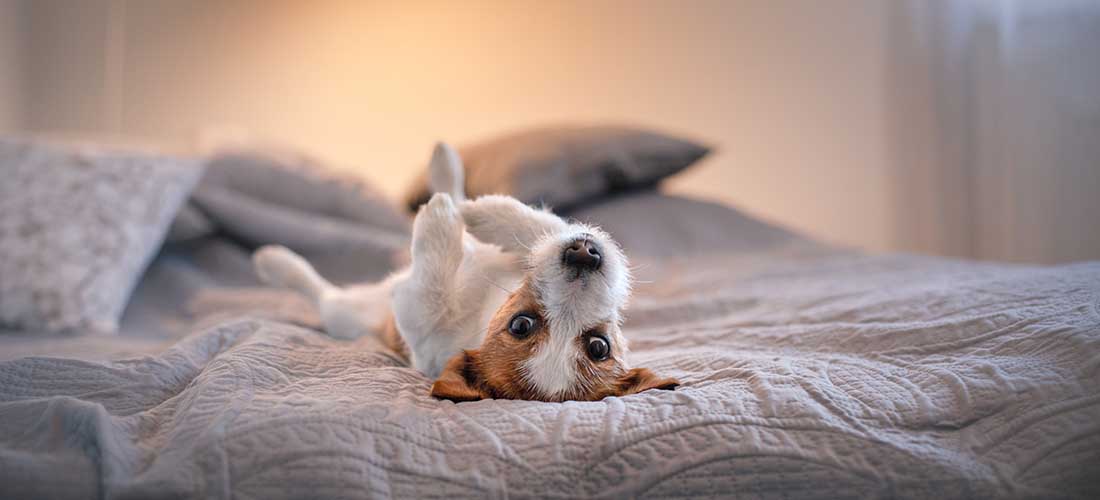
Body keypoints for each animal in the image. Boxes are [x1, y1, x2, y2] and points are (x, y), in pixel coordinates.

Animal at [254, 142, 677, 402]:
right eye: (521, 325)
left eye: (598, 347)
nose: (585, 255)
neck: (488, 301)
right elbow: (538, 227)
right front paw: (477, 213)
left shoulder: (422, 325)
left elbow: (432, 295)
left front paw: (451, 215)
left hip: (347, 311)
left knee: (321, 291)